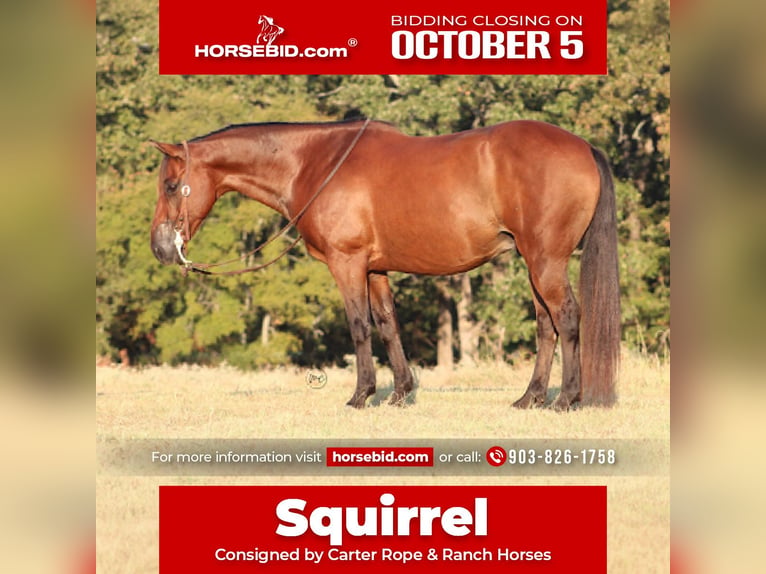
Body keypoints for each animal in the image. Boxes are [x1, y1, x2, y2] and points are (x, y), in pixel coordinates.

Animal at [150, 119, 620, 410]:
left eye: (171, 186)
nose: (161, 248)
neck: (315, 163)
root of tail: (582, 146)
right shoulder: (375, 269)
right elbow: (388, 323)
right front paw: (400, 393)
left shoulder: (347, 263)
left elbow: (359, 326)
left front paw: (362, 395)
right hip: (534, 263)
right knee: (546, 325)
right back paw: (530, 398)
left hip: (546, 261)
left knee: (567, 317)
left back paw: (566, 399)